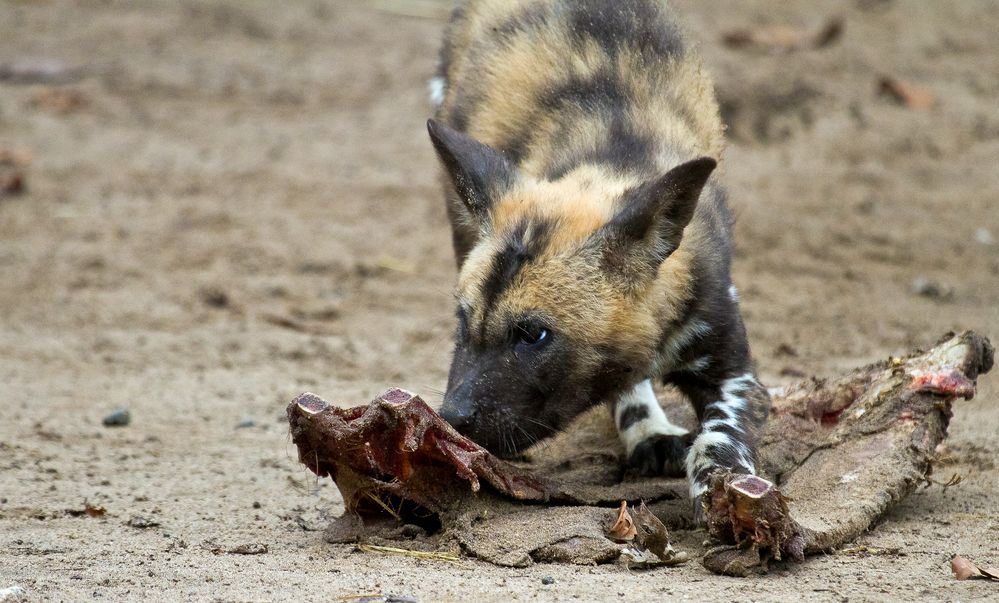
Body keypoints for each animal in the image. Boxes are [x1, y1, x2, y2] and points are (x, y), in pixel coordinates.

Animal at [426, 0, 768, 520]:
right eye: (464, 322)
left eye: (533, 334)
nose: (451, 417)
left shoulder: (731, 369)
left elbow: (720, 438)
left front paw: (726, 492)